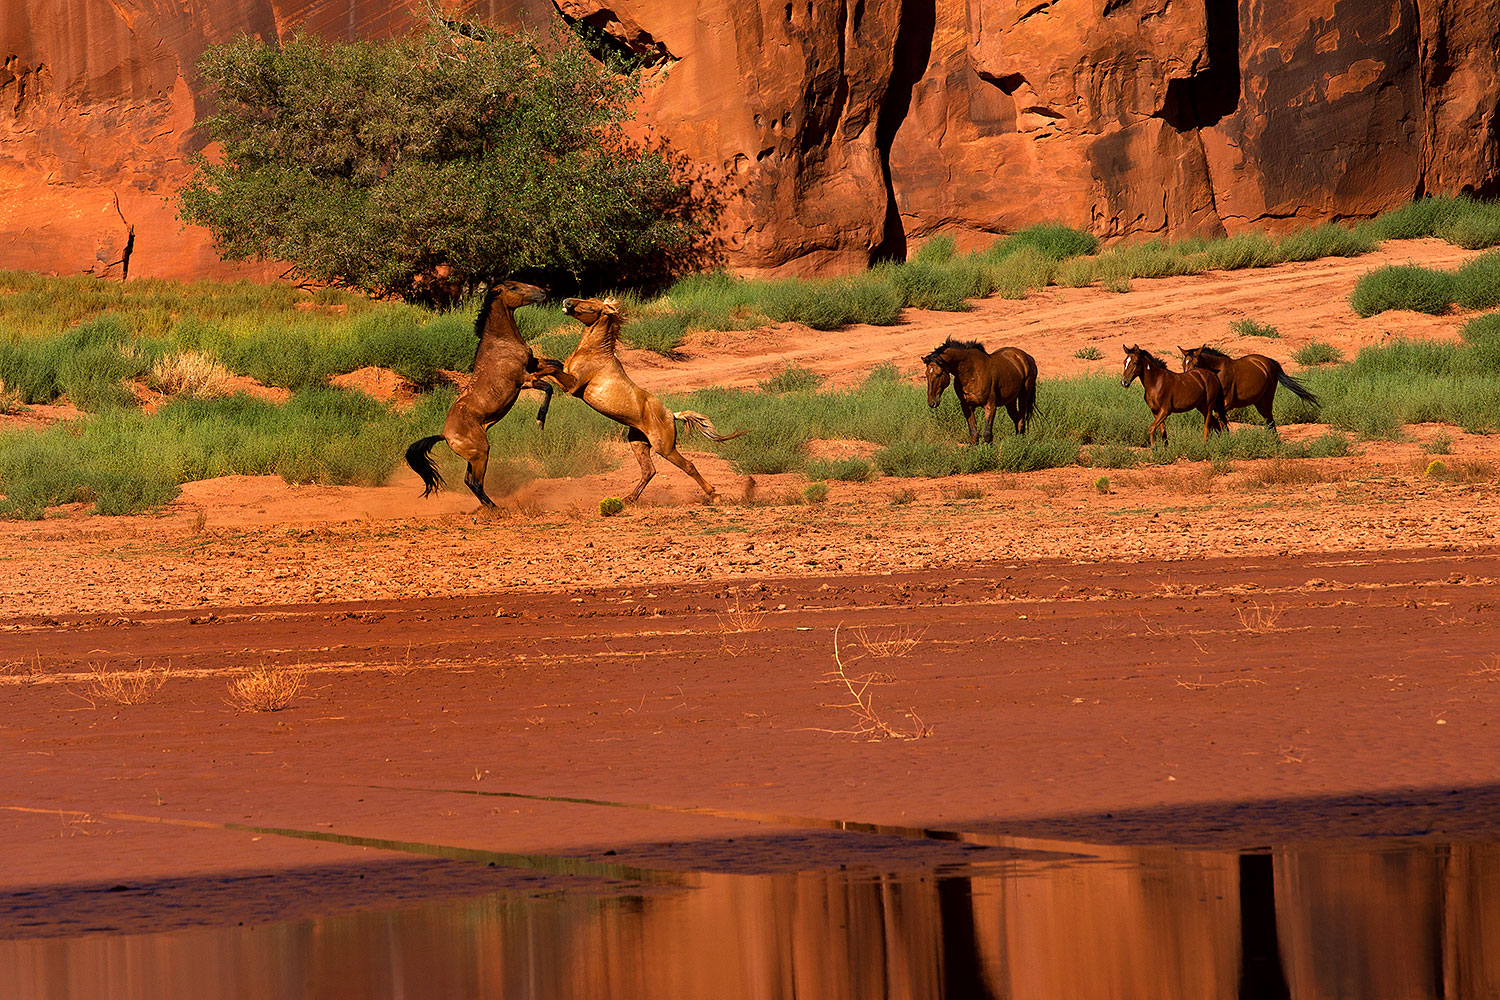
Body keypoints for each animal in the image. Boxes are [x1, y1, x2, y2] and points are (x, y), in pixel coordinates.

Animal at [405, 280, 571, 508]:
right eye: (513, 287)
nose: (543, 292)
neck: (502, 342)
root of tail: (445, 435)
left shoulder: (534, 364)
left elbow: (557, 365)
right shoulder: (525, 379)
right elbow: (549, 385)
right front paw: (540, 421)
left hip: (473, 458)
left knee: (468, 481)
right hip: (481, 453)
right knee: (475, 483)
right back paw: (495, 508)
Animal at [560, 297, 745, 503]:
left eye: (592, 307)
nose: (567, 302)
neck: (594, 353)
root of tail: (672, 415)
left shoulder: (572, 386)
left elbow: (548, 369)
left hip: (665, 448)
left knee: (688, 465)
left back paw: (715, 495)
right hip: (638, 443)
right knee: (649, 471)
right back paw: (629, 499)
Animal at [1179, 345, 1320, 433]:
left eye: (1195, 364)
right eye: (1183, 364)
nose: (1188, 380)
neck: (1218, 372)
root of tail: (1268, 362)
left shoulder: (1226, 404)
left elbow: (1220, 421)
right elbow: (1216, 421)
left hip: (1267, 399)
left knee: (1270, 420)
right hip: (1258, 402)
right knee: (1269, 420)